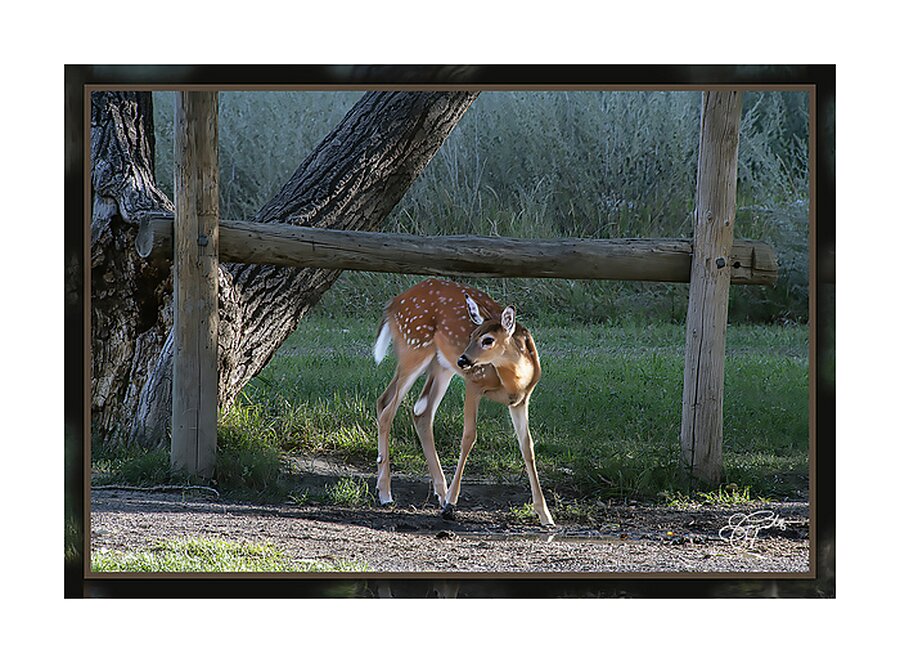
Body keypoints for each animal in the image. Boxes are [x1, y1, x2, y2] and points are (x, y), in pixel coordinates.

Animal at [372, 278, 554, 527]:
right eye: (471, 335)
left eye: (487, 339)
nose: (463, 359)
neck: (514, 381)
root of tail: (392, 303)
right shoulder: (474, 383)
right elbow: (468, 436)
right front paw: (451, 504)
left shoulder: (521, 401)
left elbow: (528, 447)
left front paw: (545, 514)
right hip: (414, 348)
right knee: (387, 408)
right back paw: (386, 495)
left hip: (441, 366)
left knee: (418, 412)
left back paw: (439, 492)